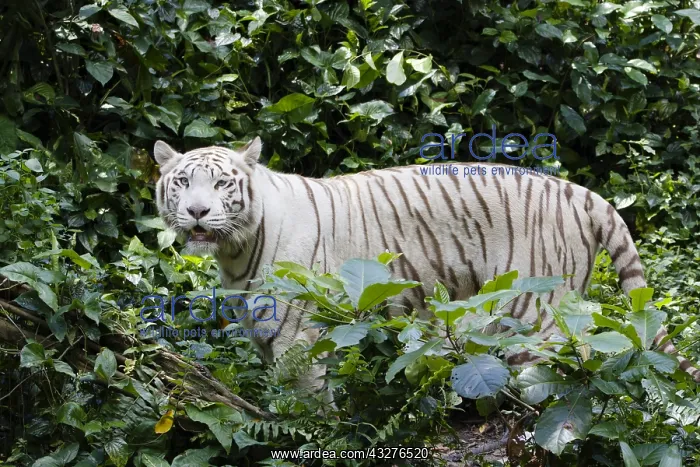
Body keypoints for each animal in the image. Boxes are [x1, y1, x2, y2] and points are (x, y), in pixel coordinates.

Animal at [153, 137, 700, 390]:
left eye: (221, 184)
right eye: (182, 182)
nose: (197, 212)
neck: (235, 250)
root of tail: (579, 190)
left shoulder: (296, 335)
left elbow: (304, 404)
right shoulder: (263, 332)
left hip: (533, 311)